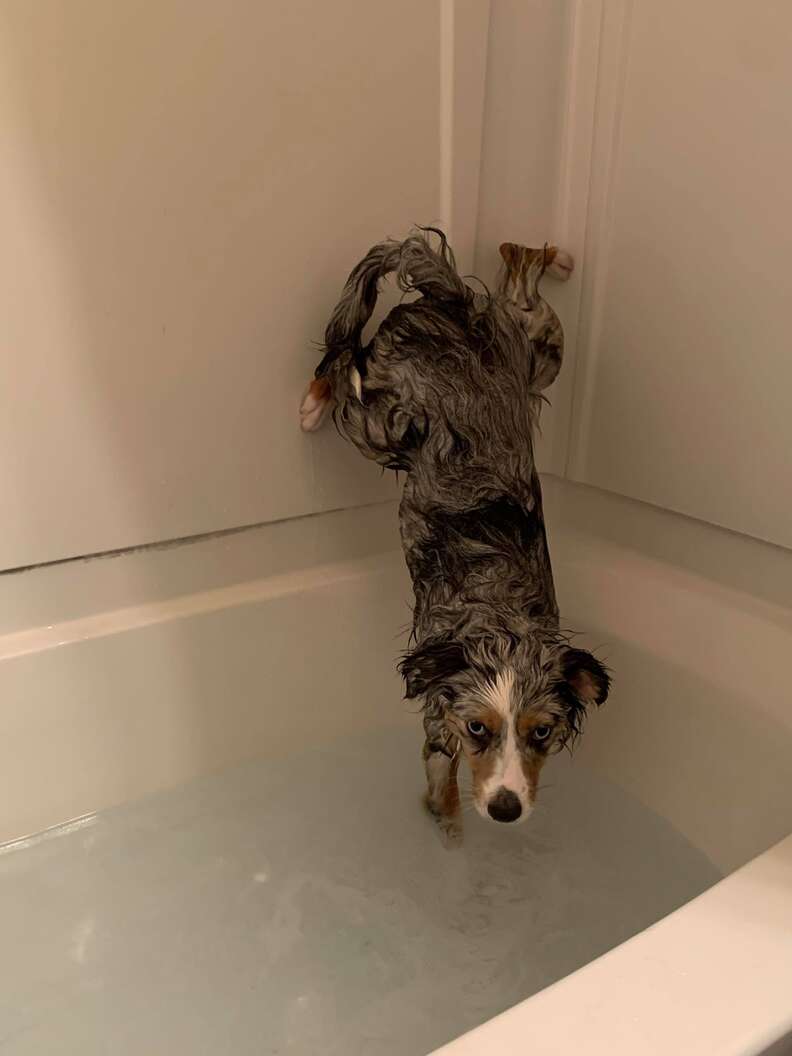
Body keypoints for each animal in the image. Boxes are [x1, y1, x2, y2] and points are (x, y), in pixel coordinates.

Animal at [299, 229, 612, 840]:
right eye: (477, 729)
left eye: (541, 732)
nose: (506, 810)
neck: (504, 614)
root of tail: (454, 301)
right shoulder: (436, 720)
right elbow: (442, 793)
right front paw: (446, 831)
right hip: (384, 426)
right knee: (344, 358)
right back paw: (313, 402)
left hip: (534, 353)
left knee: (523, 286)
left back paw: (548, 254)